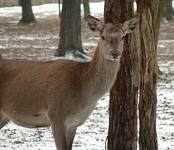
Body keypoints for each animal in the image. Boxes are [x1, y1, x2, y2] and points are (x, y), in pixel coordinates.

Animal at [0, 15, 139, 149]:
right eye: (103, 36)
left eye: (123, 36)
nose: (115, 53)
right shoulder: (56, 116)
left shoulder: (74, 124)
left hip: (4, 116)